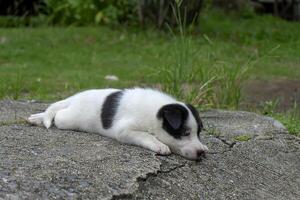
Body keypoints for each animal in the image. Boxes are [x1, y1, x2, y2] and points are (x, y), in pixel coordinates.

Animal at [29, 88, 209, 160]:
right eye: (185, 132)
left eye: (198, 133)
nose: (200, 152)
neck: (156, 111)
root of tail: (73, 98)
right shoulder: (125, 130)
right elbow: (146, 135)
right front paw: (159, 145)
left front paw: (205, 146)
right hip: (69, 118)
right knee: (58, 115)